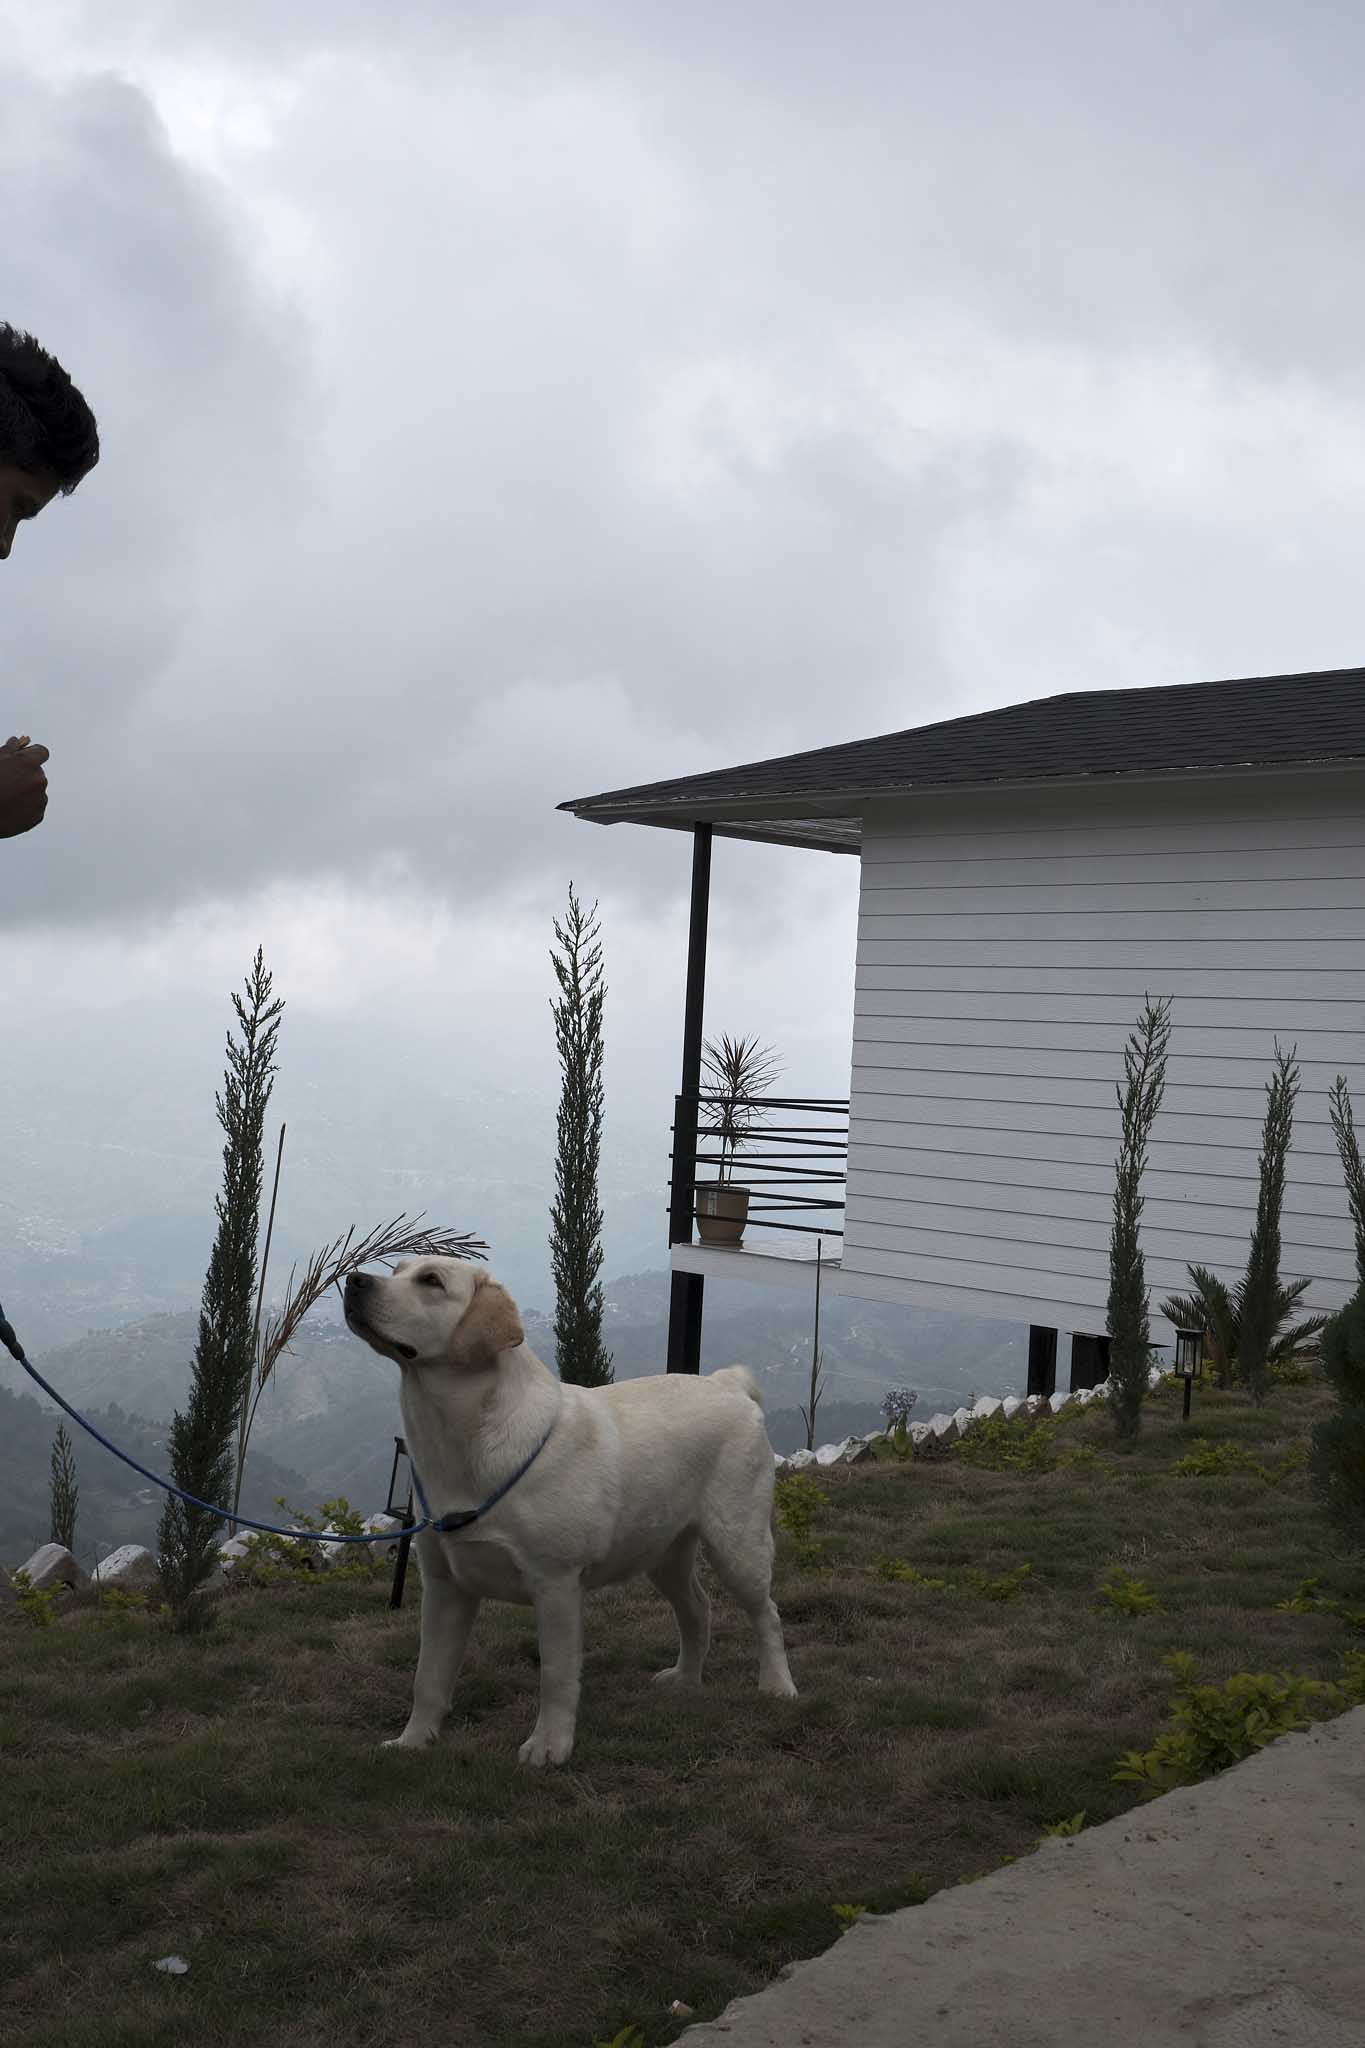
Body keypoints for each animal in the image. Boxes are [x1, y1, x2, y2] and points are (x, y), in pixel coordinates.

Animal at [343, 1257, 797, 1765]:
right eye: (396, 1270)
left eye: (431, 1281)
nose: (354, 1280)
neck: (461, 1444)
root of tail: (727, 1384)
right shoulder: (444, 1586)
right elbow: (428, 1677)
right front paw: (413, 1740)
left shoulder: (555, 1583)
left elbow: (556, 1676)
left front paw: (548, 1746)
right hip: (662, 1552)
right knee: (698, 1608)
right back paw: (685, 1679)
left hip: (737, 1543)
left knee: (767, 1613)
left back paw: (777, 1685)